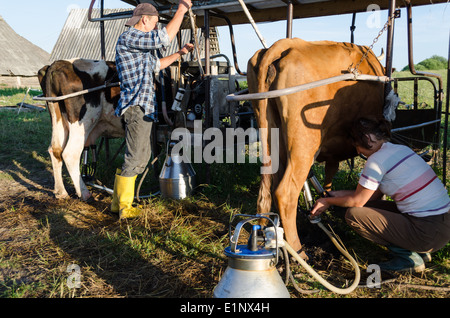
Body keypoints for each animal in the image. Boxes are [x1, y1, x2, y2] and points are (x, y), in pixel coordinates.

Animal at [37, 58, 123, 200]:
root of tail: (60, 63)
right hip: (83, 122)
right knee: (70, 153)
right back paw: (84, 193)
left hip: (58, 119)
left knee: (55, 149)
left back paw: (61, 192)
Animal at [246, 38, 386, 258]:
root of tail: (284, 45)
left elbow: (330, 174)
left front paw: (325, 200)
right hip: (303, 144)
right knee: (285, 192)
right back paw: (298, 250)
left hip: (270, 134)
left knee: (267, 187)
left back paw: (265, 232)